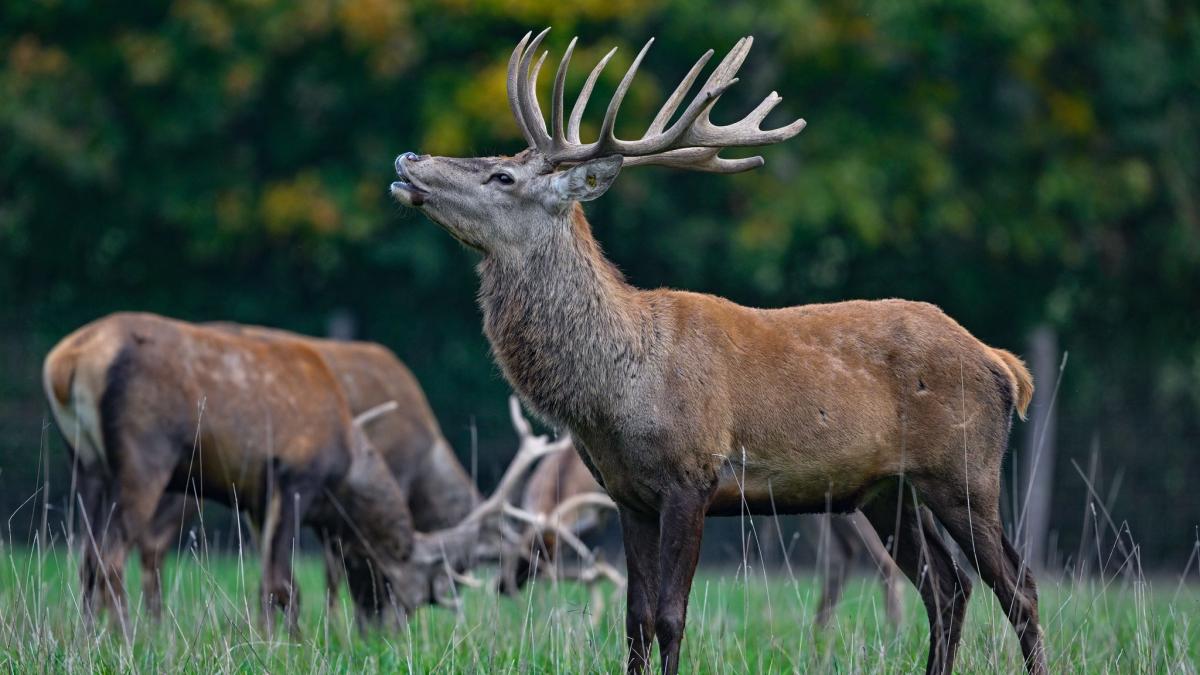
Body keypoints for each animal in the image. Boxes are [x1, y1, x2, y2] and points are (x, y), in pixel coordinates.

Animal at [42, 312, 470, 634]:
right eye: (392, 579)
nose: (384, 632)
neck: (345, 467)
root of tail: (64, 363)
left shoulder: (258, 499)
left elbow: (275, 583)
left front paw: (271, 637)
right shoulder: (295, 477)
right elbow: (284, 581)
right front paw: (294, 643)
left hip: (86, 464)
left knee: (87, 555)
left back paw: (87, 635)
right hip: (145, 459)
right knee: (113, 554)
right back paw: (126, 635)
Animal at [388, 29, 1046, 675]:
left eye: (503, 177)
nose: (407, 159)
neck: (618, 388)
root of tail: (1004, 366)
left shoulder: (693, 475)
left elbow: (669, 618)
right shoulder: (627, 495)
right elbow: (633, 623)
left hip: (965, 470)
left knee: (1018, 587)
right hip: (889, 491)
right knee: (947, 587)